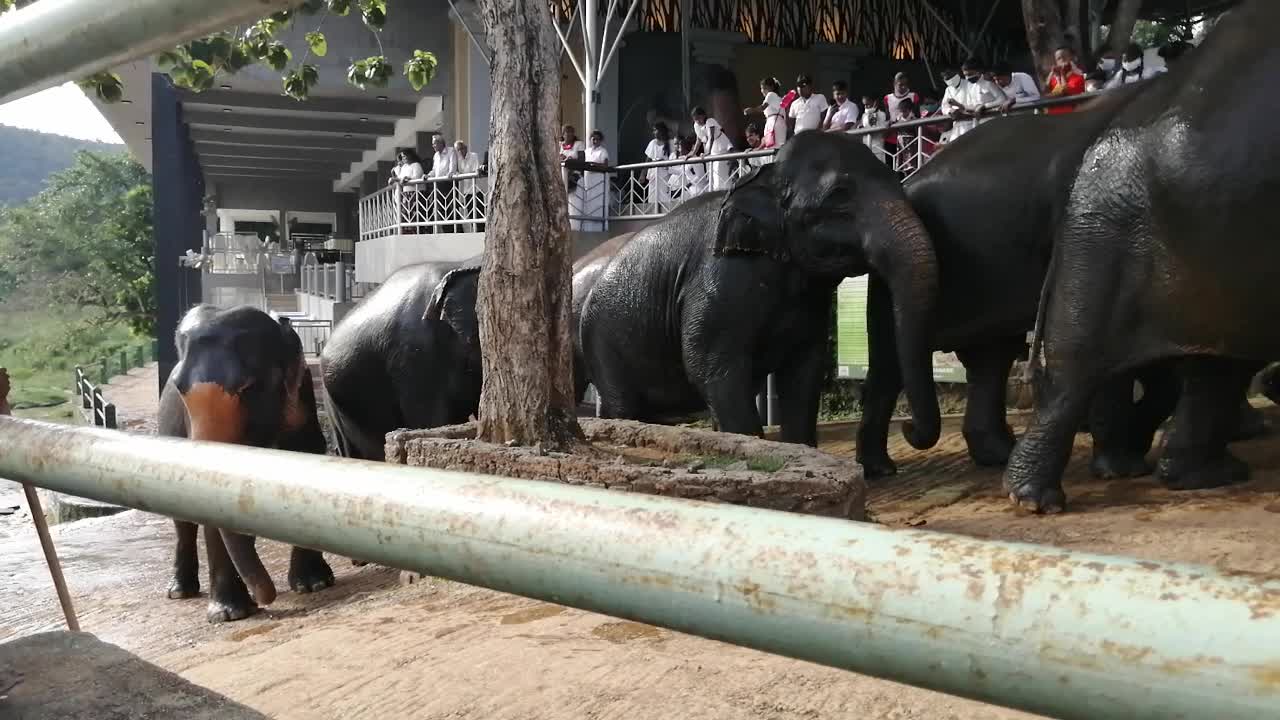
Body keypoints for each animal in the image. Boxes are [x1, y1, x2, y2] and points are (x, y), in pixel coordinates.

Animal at [160, 299, 335, 620]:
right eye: (180, 389)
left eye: (249, 387)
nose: (268, 599)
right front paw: (228, 614)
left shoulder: (301, 402)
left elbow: (308, 455)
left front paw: (314, 585)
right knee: (182, 521)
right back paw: (179, 591)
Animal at [581, 126, 942, 445]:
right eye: (840, 195)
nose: (908, 427)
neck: (763, 175)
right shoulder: (722, 278)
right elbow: (709, 367)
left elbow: (804, 371)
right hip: (604, 345)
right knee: (624, 406)